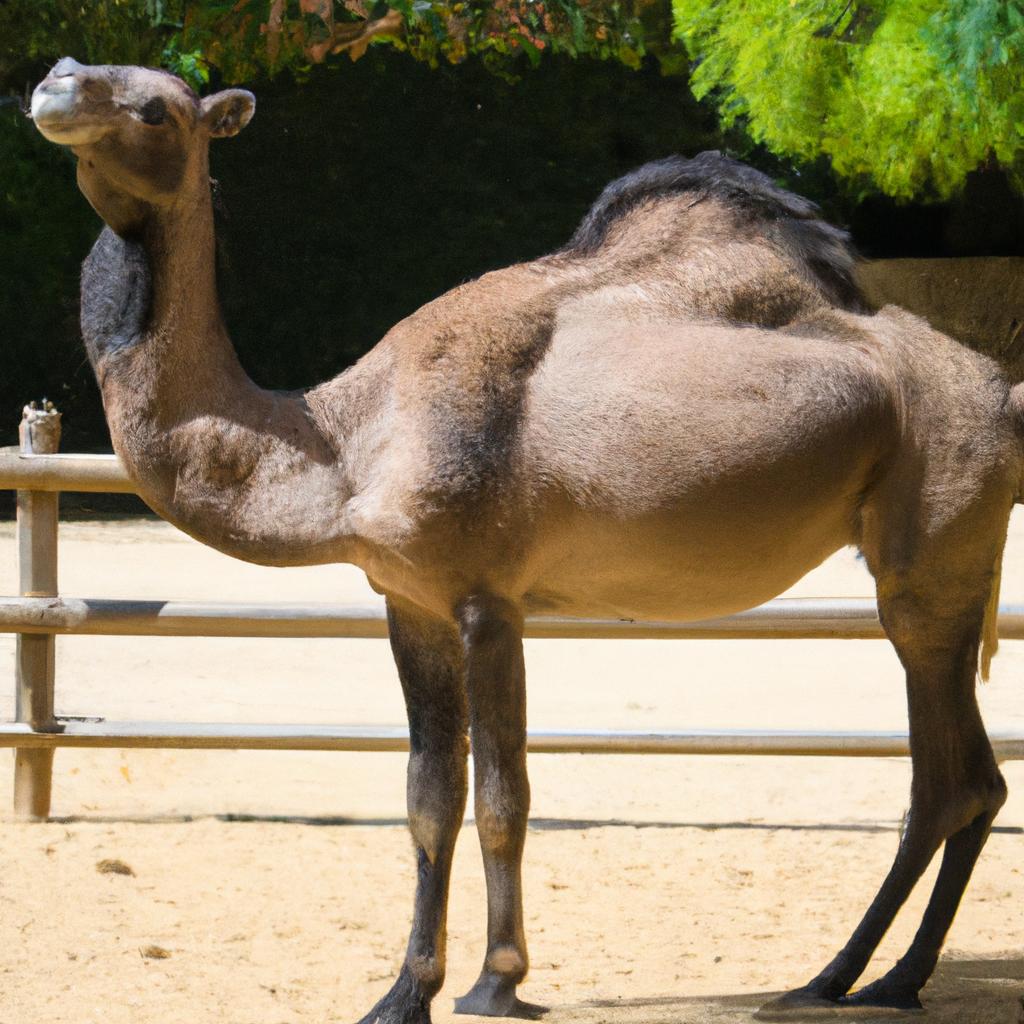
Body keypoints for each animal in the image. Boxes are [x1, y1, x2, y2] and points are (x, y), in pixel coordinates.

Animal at [29, 59, 1024, 1019]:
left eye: (158, 110)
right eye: (80, 66)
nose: (54, 84)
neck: (344, 442)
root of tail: (1001, 395)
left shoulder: (487, 599)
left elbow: (504, 797)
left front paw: (497, 982)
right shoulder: (410, 602)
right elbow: (428, 799)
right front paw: (401, 995)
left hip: (931, 558)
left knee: (950, 778)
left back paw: (873, 979)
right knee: (961, 778)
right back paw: (845, 979)